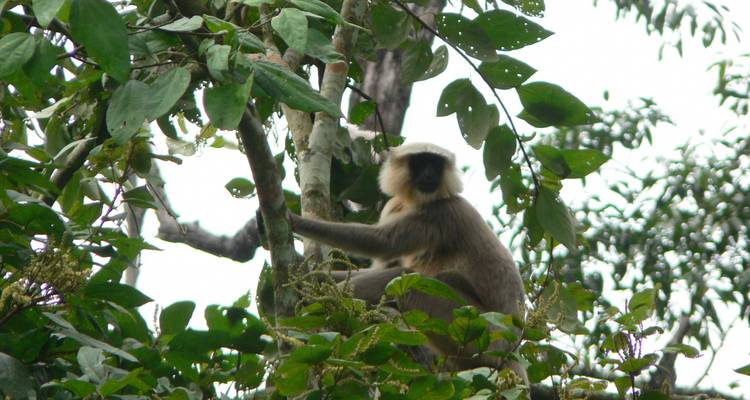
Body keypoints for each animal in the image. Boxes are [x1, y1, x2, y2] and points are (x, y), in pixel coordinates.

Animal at [288, 142, 528, 380]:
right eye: (421, 163)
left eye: (435, 165)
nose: (430, 174)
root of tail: (512, 350)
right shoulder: (396, 205)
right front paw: (310, 274)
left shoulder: (441, 212)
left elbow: (382, 243)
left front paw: (294, 221)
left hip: (478, 330)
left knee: (411, 281)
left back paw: (327, 301)